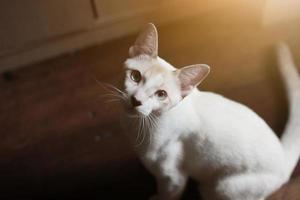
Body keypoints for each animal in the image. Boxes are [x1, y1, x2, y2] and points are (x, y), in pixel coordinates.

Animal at [119, 23, 300, 200]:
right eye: (135, 76)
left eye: (161, 94)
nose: (136, 100)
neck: (135, 126)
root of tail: (283, 158)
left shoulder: (172, 177)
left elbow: (167, 194)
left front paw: (155, 197)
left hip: (220, 188)